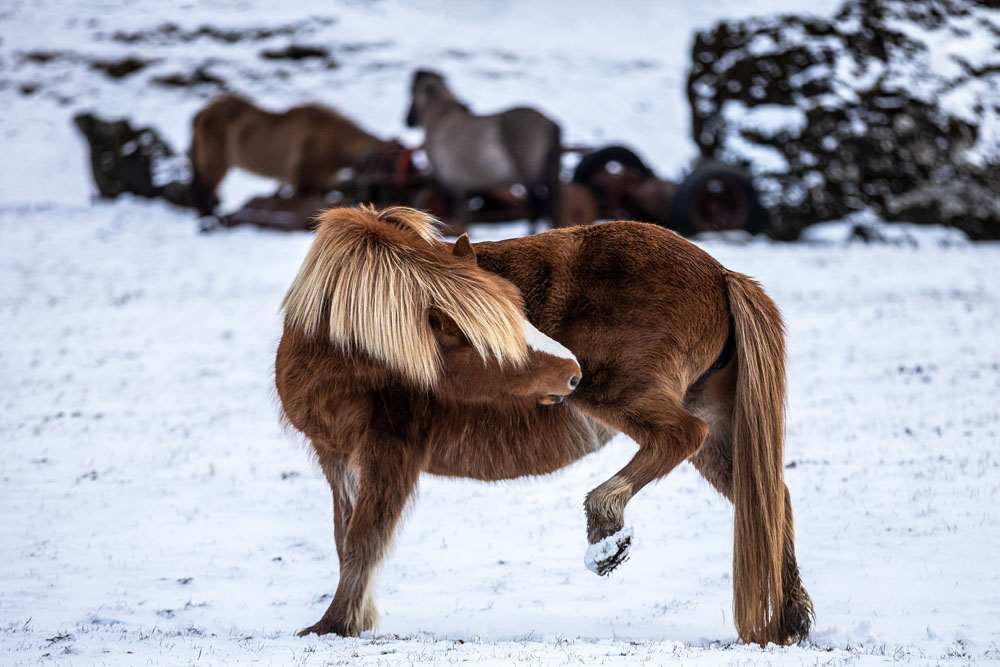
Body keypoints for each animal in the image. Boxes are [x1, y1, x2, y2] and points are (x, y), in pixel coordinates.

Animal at [189, 96, 403, 216]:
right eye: (391, 162)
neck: (331, 138)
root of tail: (201, 113)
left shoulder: (321, 183)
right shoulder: (303, 184)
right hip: (214, 162)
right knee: (204, 192)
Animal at [275, 206, 814, 647]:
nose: (570, 370)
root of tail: (720, 273)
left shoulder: (391, 451)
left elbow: (364, 539)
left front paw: (333, 625)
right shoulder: (337, 457)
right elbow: (346, 537)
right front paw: (353, 620)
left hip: (623, 394)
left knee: (679, 437)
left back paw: (606, 529)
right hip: (712, 425)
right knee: (768, 496)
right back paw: (790, 621)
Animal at [405, 69, 562, 232]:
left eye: (412, 92)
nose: (408, 120)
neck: (440, 120)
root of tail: (549, 124)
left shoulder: (453, 184)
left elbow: (457, 214)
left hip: (529, 176)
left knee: (536, 207)